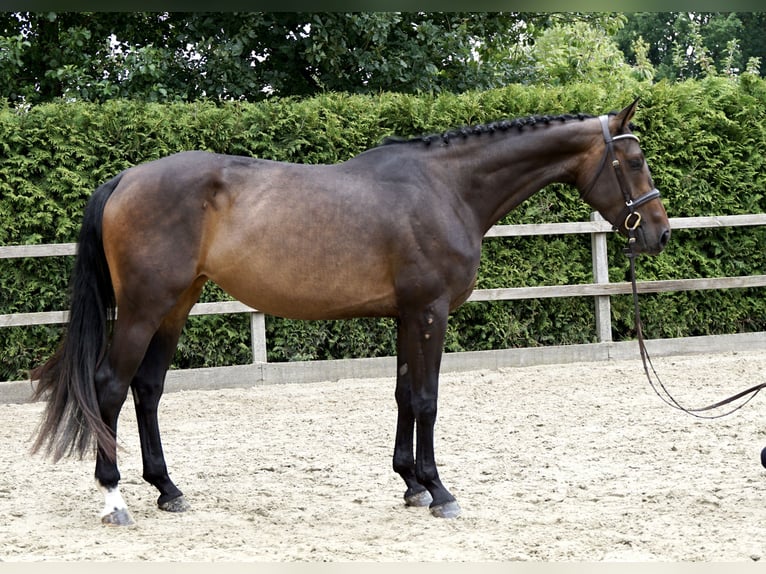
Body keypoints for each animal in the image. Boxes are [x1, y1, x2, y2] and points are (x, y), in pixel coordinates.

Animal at [30, 99, 670, 525]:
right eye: (635, 160)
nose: (659, 232)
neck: (448, 188)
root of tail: (125, 179)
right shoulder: (431, 313)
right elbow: (427, 398)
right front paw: (439, 491)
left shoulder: (408, 316)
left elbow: (404, 394)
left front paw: (411, 483)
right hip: (144, 309)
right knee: (110, 387)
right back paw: (114, 497)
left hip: (175, 306)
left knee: (148, 388)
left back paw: (168, 488)